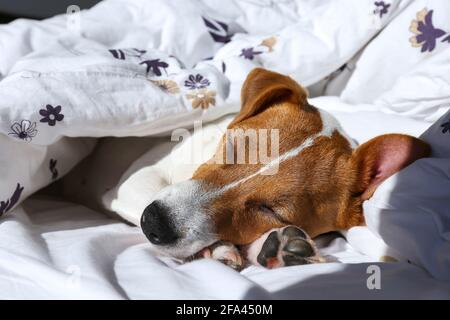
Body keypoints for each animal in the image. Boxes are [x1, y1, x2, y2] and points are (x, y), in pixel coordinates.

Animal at [62, 67, 428, 270]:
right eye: (232, 147)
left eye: (271, 212)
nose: (154, 223)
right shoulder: (133, 180)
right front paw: (218, 247)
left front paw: (273, 245)